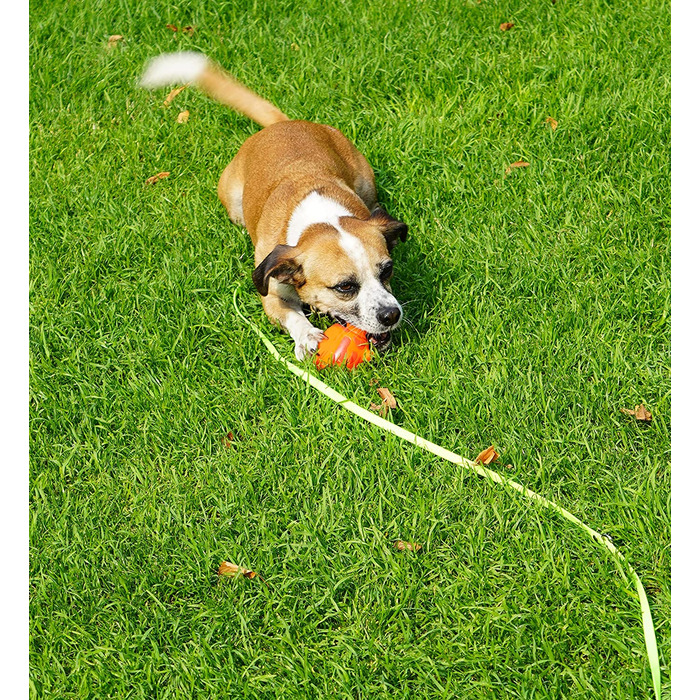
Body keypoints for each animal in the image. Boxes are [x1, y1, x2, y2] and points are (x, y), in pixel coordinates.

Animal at [140, 54, 408, 358]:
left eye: (387, 270)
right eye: (345, 287)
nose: (391, 314)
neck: (320, 218)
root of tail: (281, 124)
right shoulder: (272, 294)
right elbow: (292, 316)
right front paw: (307, 336)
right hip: (234, 204)